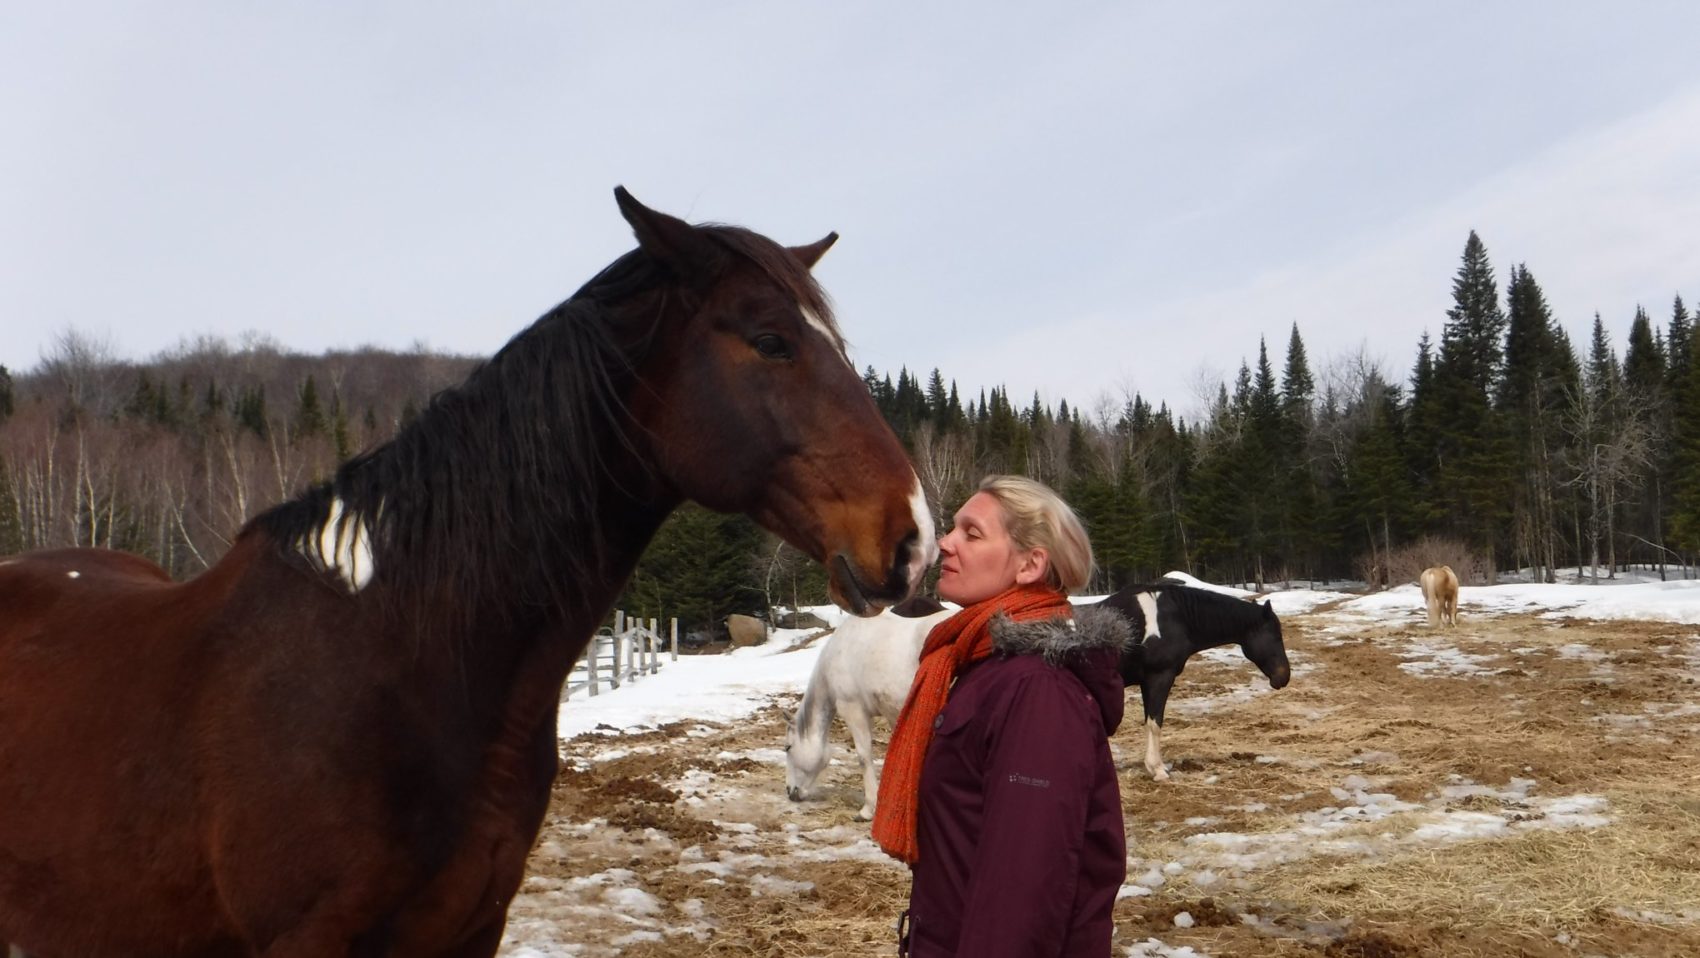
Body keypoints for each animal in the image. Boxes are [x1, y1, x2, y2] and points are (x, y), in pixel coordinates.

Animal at [1088, 584, 1285, 777]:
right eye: (1276, 636)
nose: (1284, 676)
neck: (1170, 619)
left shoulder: (1147, 682)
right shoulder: (1159, 677)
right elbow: (1155, 723)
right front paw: (1158, 769)